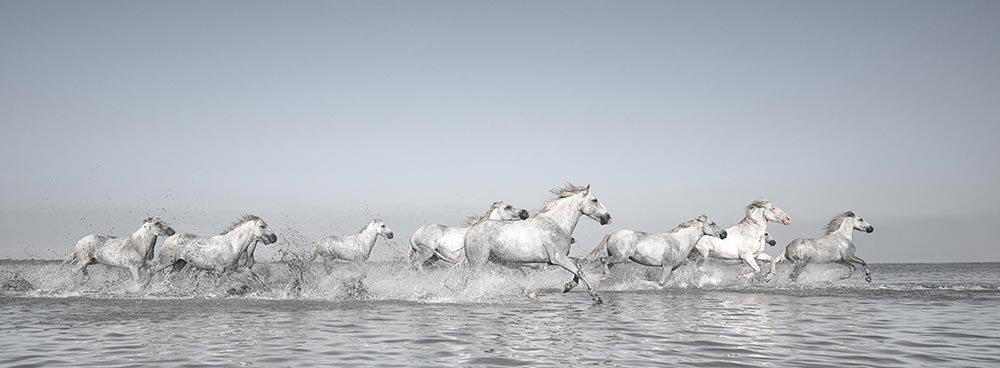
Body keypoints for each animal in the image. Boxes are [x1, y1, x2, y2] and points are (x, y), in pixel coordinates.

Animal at [146, 214, 278, 280]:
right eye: (262, 226)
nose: (274, 237)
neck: (232, 245)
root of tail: (169, 238)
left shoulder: (233, 270)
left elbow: (253, 276)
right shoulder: (220, 271)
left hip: (179, 264)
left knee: (171, 276)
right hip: (166, 262)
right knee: (152, 271)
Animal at [462, 185, 608, 304]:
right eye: (594, 200)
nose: (608, 217)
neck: (557, 224)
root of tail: (470, 232)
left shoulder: (556, 260)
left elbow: (578, 266)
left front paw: (568, 286)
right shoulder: (558, 259)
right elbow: (580, 271)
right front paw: (596, 297)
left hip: (498, 261)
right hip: (479, 264)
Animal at [584, 214, 728, 286]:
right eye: (712, 224)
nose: (724, 234)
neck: (680, 241)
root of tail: (612, 233)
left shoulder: (676, 267)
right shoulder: (667, 266)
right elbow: (661, 283)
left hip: (616, 259)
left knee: (605, 263)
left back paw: (604, 277)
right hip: (620, 258)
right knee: (603, 259)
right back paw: (605, 277)